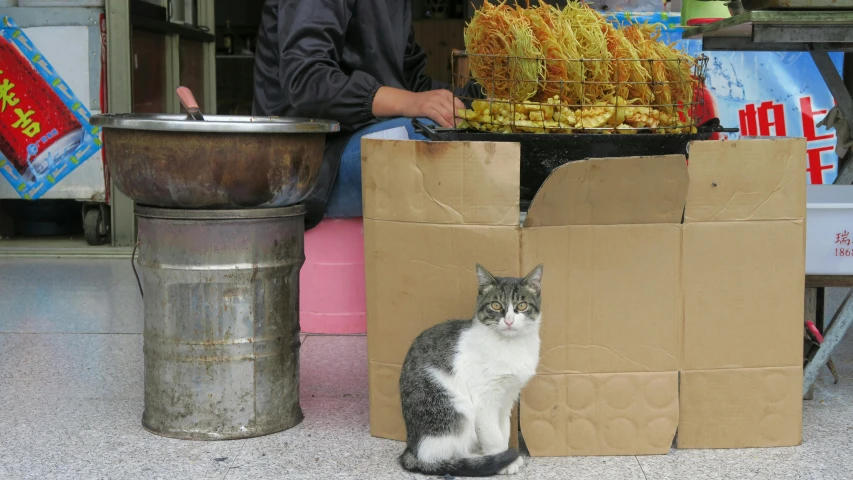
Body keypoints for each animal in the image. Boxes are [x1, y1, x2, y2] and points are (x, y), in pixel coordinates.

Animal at [398, 264, 544, 478]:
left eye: (522, 306)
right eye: (496, 305)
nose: (509, 321)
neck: (509, 346)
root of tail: (411, 447)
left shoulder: (507, 397)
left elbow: (503, 430)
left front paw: (503, 455)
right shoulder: (484, 399)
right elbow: (493, 435)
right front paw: (503, 460)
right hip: (456, 408)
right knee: (437, 455)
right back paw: (476, 460)